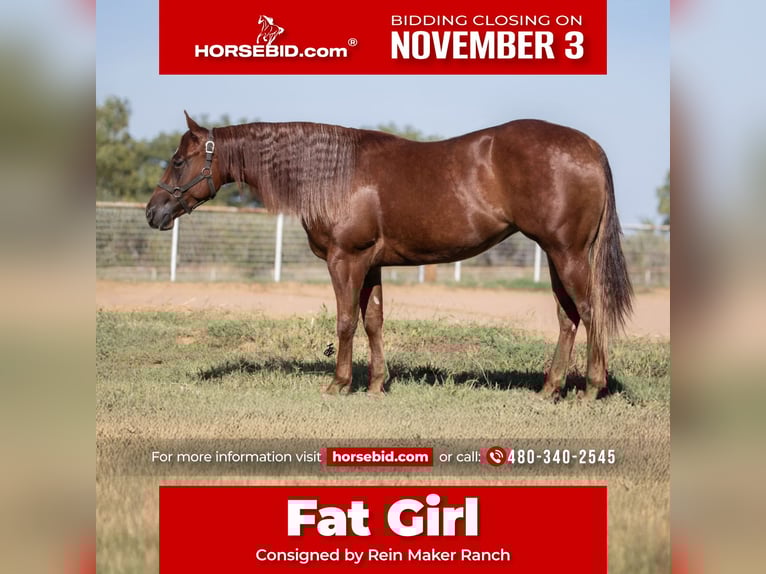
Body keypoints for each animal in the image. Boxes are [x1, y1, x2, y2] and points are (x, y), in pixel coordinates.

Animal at [146, 113, 633, 399]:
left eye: (177, 160)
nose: (154, 211)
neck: (333, 174)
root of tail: (590, 146)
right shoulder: (372, 264)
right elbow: (374, 321)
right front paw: (377, 384)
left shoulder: (346, 259)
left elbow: (345, 321)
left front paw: (339, 383)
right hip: (556, 255)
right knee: (568, 316)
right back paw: (550, 389)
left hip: (567, 253)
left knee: (591, 312)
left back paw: (591, 389)